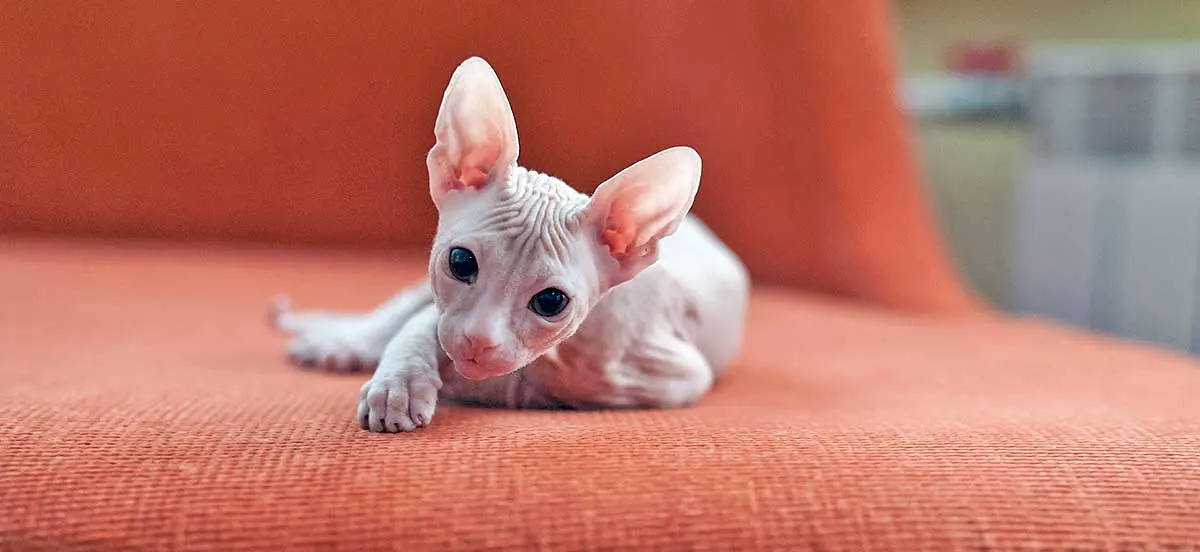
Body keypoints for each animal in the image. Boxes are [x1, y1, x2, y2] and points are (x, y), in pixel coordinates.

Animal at [270, 58, 748, 434]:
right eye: (460, 262)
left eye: (551, 301)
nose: (478, 340)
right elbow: (423, 325)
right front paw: (400, 386)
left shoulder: (675, 374)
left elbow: (544, 383)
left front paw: (482, 382)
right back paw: (345, 342)